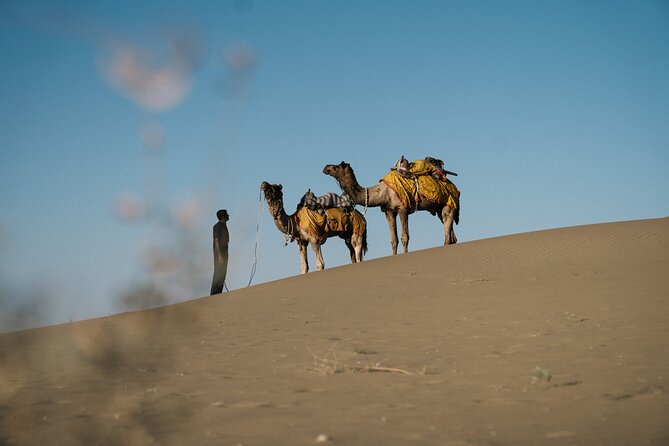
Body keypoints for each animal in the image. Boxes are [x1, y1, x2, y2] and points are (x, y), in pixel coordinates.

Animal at [324, 162, 460, 256]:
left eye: (336, 167)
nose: (325, 167)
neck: (382, 193)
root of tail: (455, 187)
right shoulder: (389, 212)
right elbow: (393, 240)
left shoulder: (402, 208)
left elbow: (405, 237)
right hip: (439, 208)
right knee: (450, 231)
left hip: (448, 203)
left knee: (447, 228)